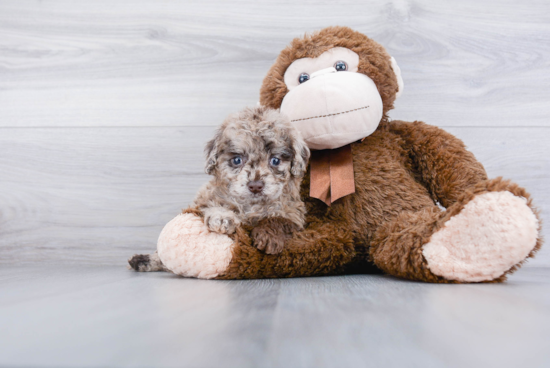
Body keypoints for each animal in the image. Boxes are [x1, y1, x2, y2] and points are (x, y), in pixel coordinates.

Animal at [129, 105, 310, 272]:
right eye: (237, 160)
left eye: (275, 160)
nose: (255, 186)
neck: (250, 205)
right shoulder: (204, 200)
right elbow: (214, 207)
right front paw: (222, 218)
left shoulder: (294, 213)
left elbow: (279, 220)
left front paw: (268, 237)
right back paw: (143, 260)